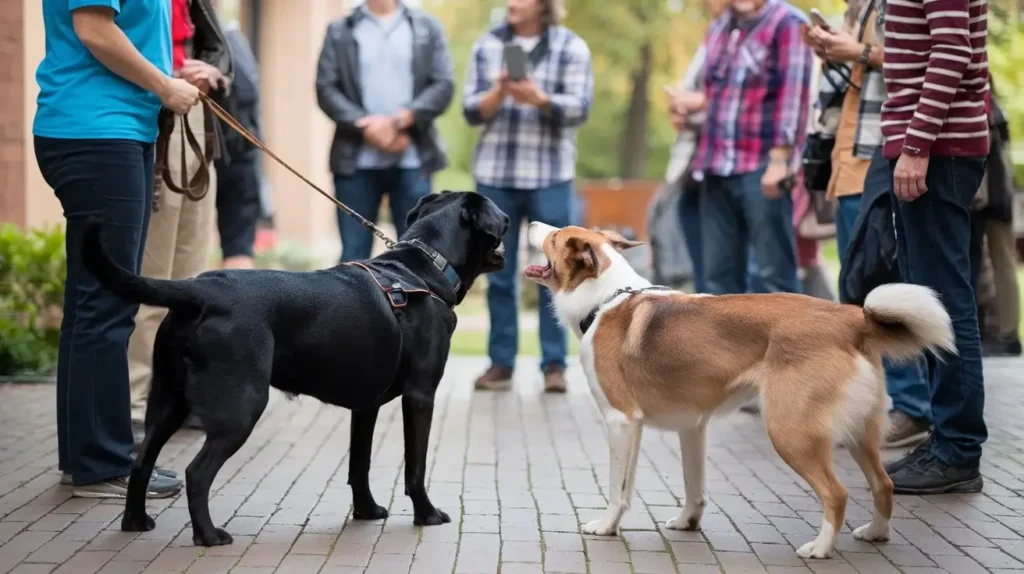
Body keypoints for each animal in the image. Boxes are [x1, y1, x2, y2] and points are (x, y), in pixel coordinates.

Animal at [81, 190, 509, 544]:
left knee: (142, 459)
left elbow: (359, 464)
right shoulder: (421, 396)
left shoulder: (365, 406)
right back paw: (208, 535)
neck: (422, 268)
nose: (507, 224)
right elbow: (415, 467)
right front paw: (427, 514)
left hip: (169, 399)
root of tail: (202, 288)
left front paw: (367, 512)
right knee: (197, 473)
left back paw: (135, 522)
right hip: (242, 404)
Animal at [524, 222, 954, 556]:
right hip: (859, 430)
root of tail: (849, 318)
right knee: (883, 484)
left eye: (556, 236)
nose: (529, 223)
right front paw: (688, 521)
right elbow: (693, 485)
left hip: (790, 431)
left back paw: (821, 548)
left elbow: (619, 487)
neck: (606, 300)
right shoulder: (690, 427)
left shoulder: (621, 422)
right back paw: (876, 533)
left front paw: (607, 525)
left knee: (837, 493)